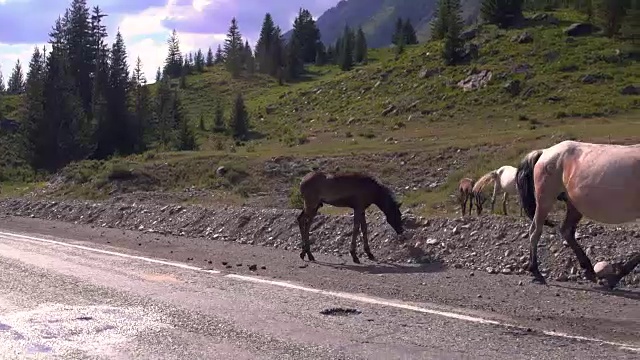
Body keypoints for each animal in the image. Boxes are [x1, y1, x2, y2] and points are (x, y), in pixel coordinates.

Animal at [516, 141, 636, 290]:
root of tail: (544, 152)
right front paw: (615, 278)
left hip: (574, 206)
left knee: (566, 231)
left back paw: (590, 271)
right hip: (545, 200)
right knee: (535, 231)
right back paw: (536, 271)